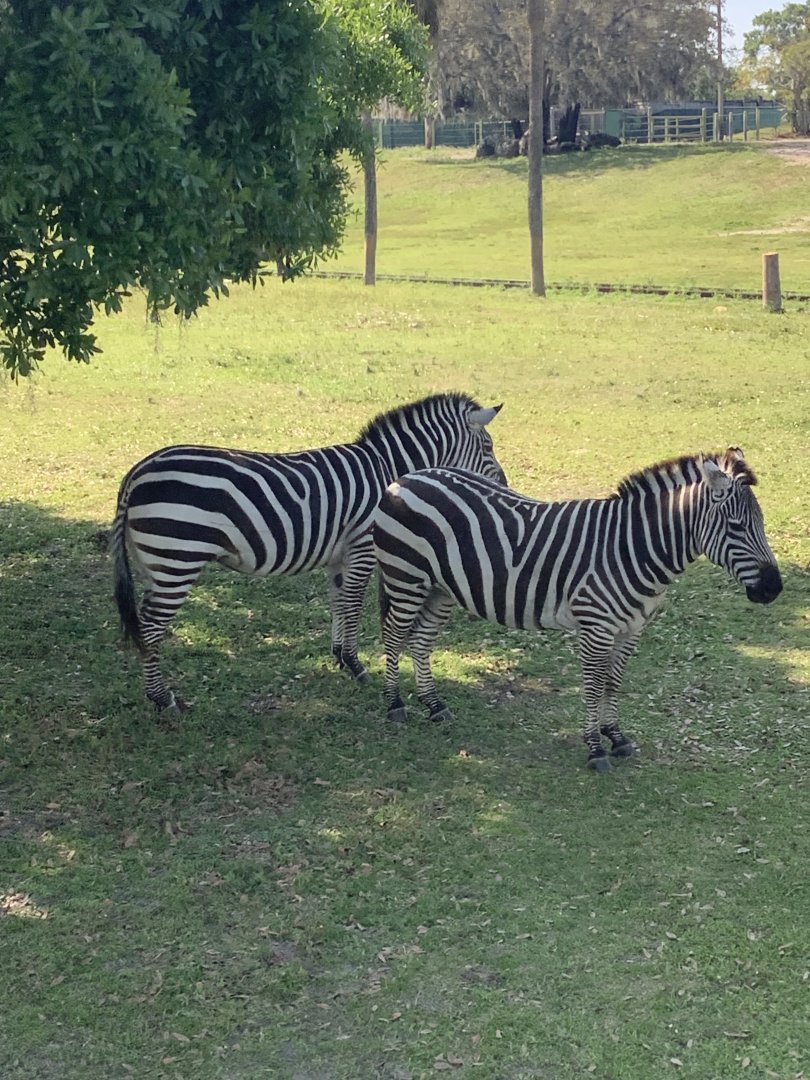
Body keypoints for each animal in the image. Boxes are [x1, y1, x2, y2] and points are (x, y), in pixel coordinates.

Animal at [111, 392, 506, 711]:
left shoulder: (338, 556)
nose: (505, 484)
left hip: (157, 564)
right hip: (177, 560)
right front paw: (356, 664)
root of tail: (136, 472)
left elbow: (338, 602)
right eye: (488, 448)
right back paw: (162, 698)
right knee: (151, 627)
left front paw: (340, 659)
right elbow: (354, 604)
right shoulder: (362, 546)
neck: (385, 470)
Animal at [373, 449, 782, 771]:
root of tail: (406, 478)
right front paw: (595, 748)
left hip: (440, 589)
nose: (774, 589)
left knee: (420, 641)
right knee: (393, 637)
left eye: (762, 523)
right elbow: (593, 685)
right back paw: (394, 705)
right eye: (736, 527)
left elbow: (613, 683)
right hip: (406, 577)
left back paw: (434, 705)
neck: (633, 548)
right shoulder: (596, 627)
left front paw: (616, 736)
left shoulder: (630, 630)